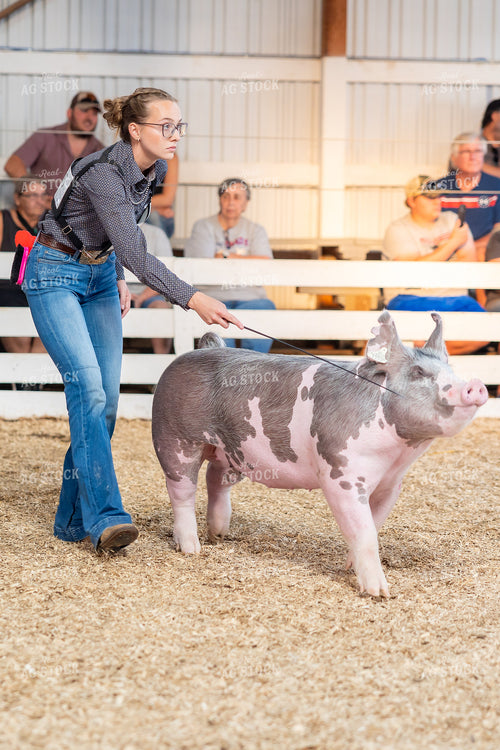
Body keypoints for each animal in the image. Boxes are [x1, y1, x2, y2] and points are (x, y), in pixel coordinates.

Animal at [152, 312, 487, 597]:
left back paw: (219, 534)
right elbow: (365, 532)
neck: (397, 455)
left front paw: (349, 567)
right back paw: (192, 548)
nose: (476, 386)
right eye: (418, 372)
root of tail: (203, 348)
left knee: (215, 479)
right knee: (181, 491)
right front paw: (379, 593)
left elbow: (373, 525)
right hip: (175, 439)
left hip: (231, 450)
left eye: (452, 370)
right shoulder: (341, 476)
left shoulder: (392, 484)